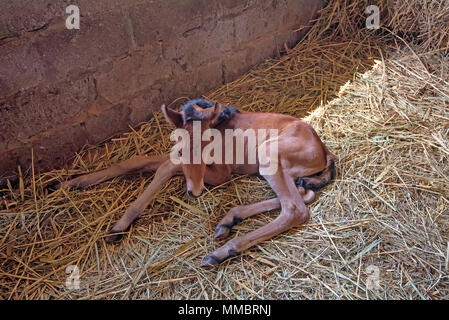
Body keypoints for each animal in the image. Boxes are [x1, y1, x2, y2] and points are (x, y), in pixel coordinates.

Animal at [62, 100, 336, 268]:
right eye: (181, 143)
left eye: (207, 144)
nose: (195, 192)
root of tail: (323, 149)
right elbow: (138, 161)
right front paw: (73, 182)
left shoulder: (221, 174)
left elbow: (166, 167)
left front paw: (121, 224)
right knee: (304, 191)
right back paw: (229, 220)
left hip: (268, 154)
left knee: (295, 208)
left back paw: (222, 251)